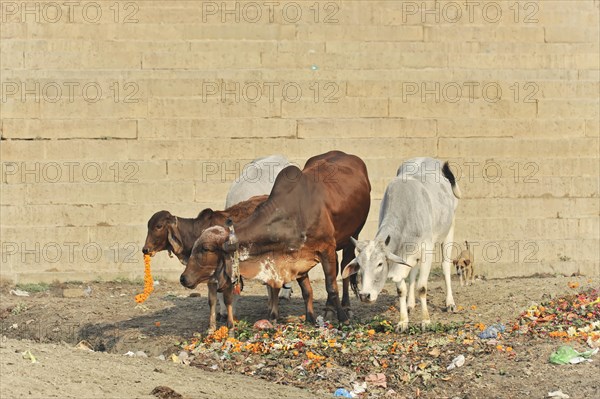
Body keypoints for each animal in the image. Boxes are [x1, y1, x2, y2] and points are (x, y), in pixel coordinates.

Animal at [180, 150, 372, 324]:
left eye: (206, 249)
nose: (183, 278)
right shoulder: (297, 258)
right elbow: (305, 289)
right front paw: (307, 318)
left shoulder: (327, 249)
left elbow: (331, 287)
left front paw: (343, 318)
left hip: (352, 236)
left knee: (345, 268)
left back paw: (344, 308)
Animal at [342, 158, 460, 332]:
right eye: (360, 266)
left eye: (380, 264)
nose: (364, 295)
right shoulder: (400, 255)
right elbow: (401, 290)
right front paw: (403, 321)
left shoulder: (426, 250)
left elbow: (422, 288)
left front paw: (426, 321)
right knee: (412, 273)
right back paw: (410, 304)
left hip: (449, 229)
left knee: (445, 266)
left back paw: (450, 303)